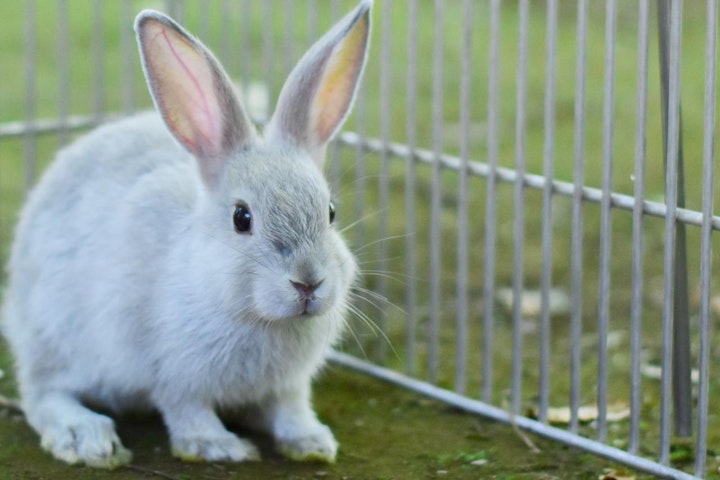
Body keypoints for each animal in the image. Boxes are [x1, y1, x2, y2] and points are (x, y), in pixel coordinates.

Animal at [0, 0, 372, 468]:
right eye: (242, 218)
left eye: (331, 212)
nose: (308, 283)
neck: (258, 316)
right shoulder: (174, 375)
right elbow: (186, 410)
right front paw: (220, 446)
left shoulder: (288, 386)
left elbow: (290, 409)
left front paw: (312, 442)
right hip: (57, 335)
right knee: (42, 392)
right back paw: (85, 435)